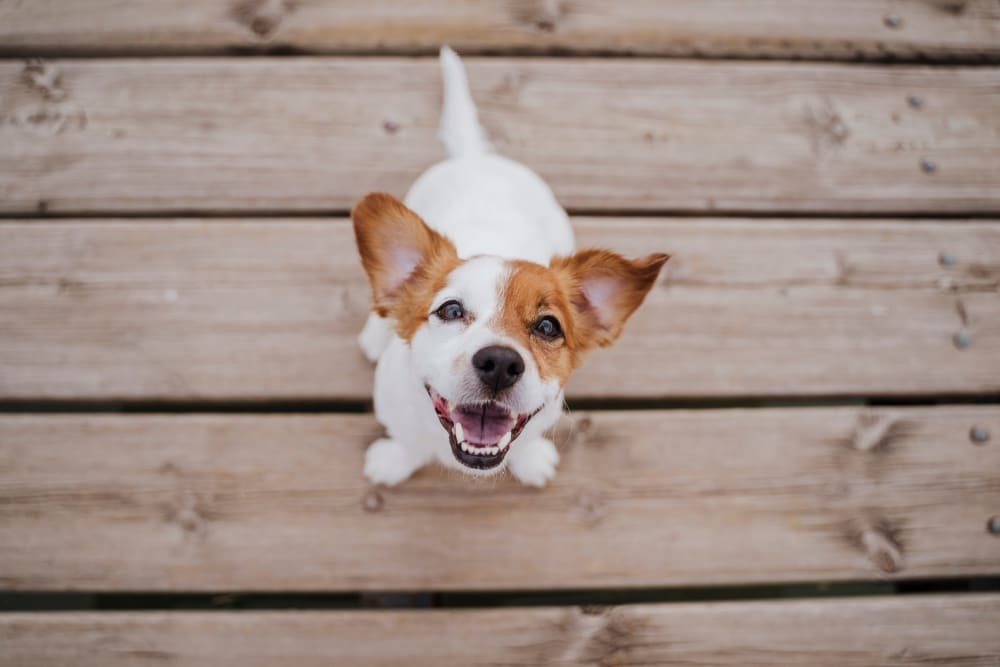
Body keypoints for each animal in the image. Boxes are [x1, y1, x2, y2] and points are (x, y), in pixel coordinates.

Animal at [352, 47, 672, 486]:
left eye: (548, 326)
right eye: (450, 310)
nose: (500, 364)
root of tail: (476, 157)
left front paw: (531, 460)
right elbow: (407, 441)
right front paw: (393, 461)